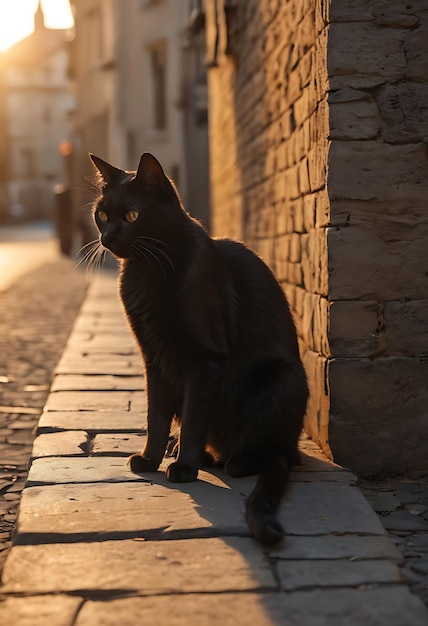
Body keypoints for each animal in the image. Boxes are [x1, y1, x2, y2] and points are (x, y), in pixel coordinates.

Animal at [89, 151, 308, 540]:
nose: (108, 236)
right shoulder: (153, 358)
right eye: (101, 214)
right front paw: (150, 459)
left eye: (131, 216)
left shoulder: (205, 360)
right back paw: (201, 454)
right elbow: (156, 417)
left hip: (285, 380)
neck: (146, 270)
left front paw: (184, 467)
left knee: (274, 454)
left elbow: (192, 419)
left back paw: (232, 460)